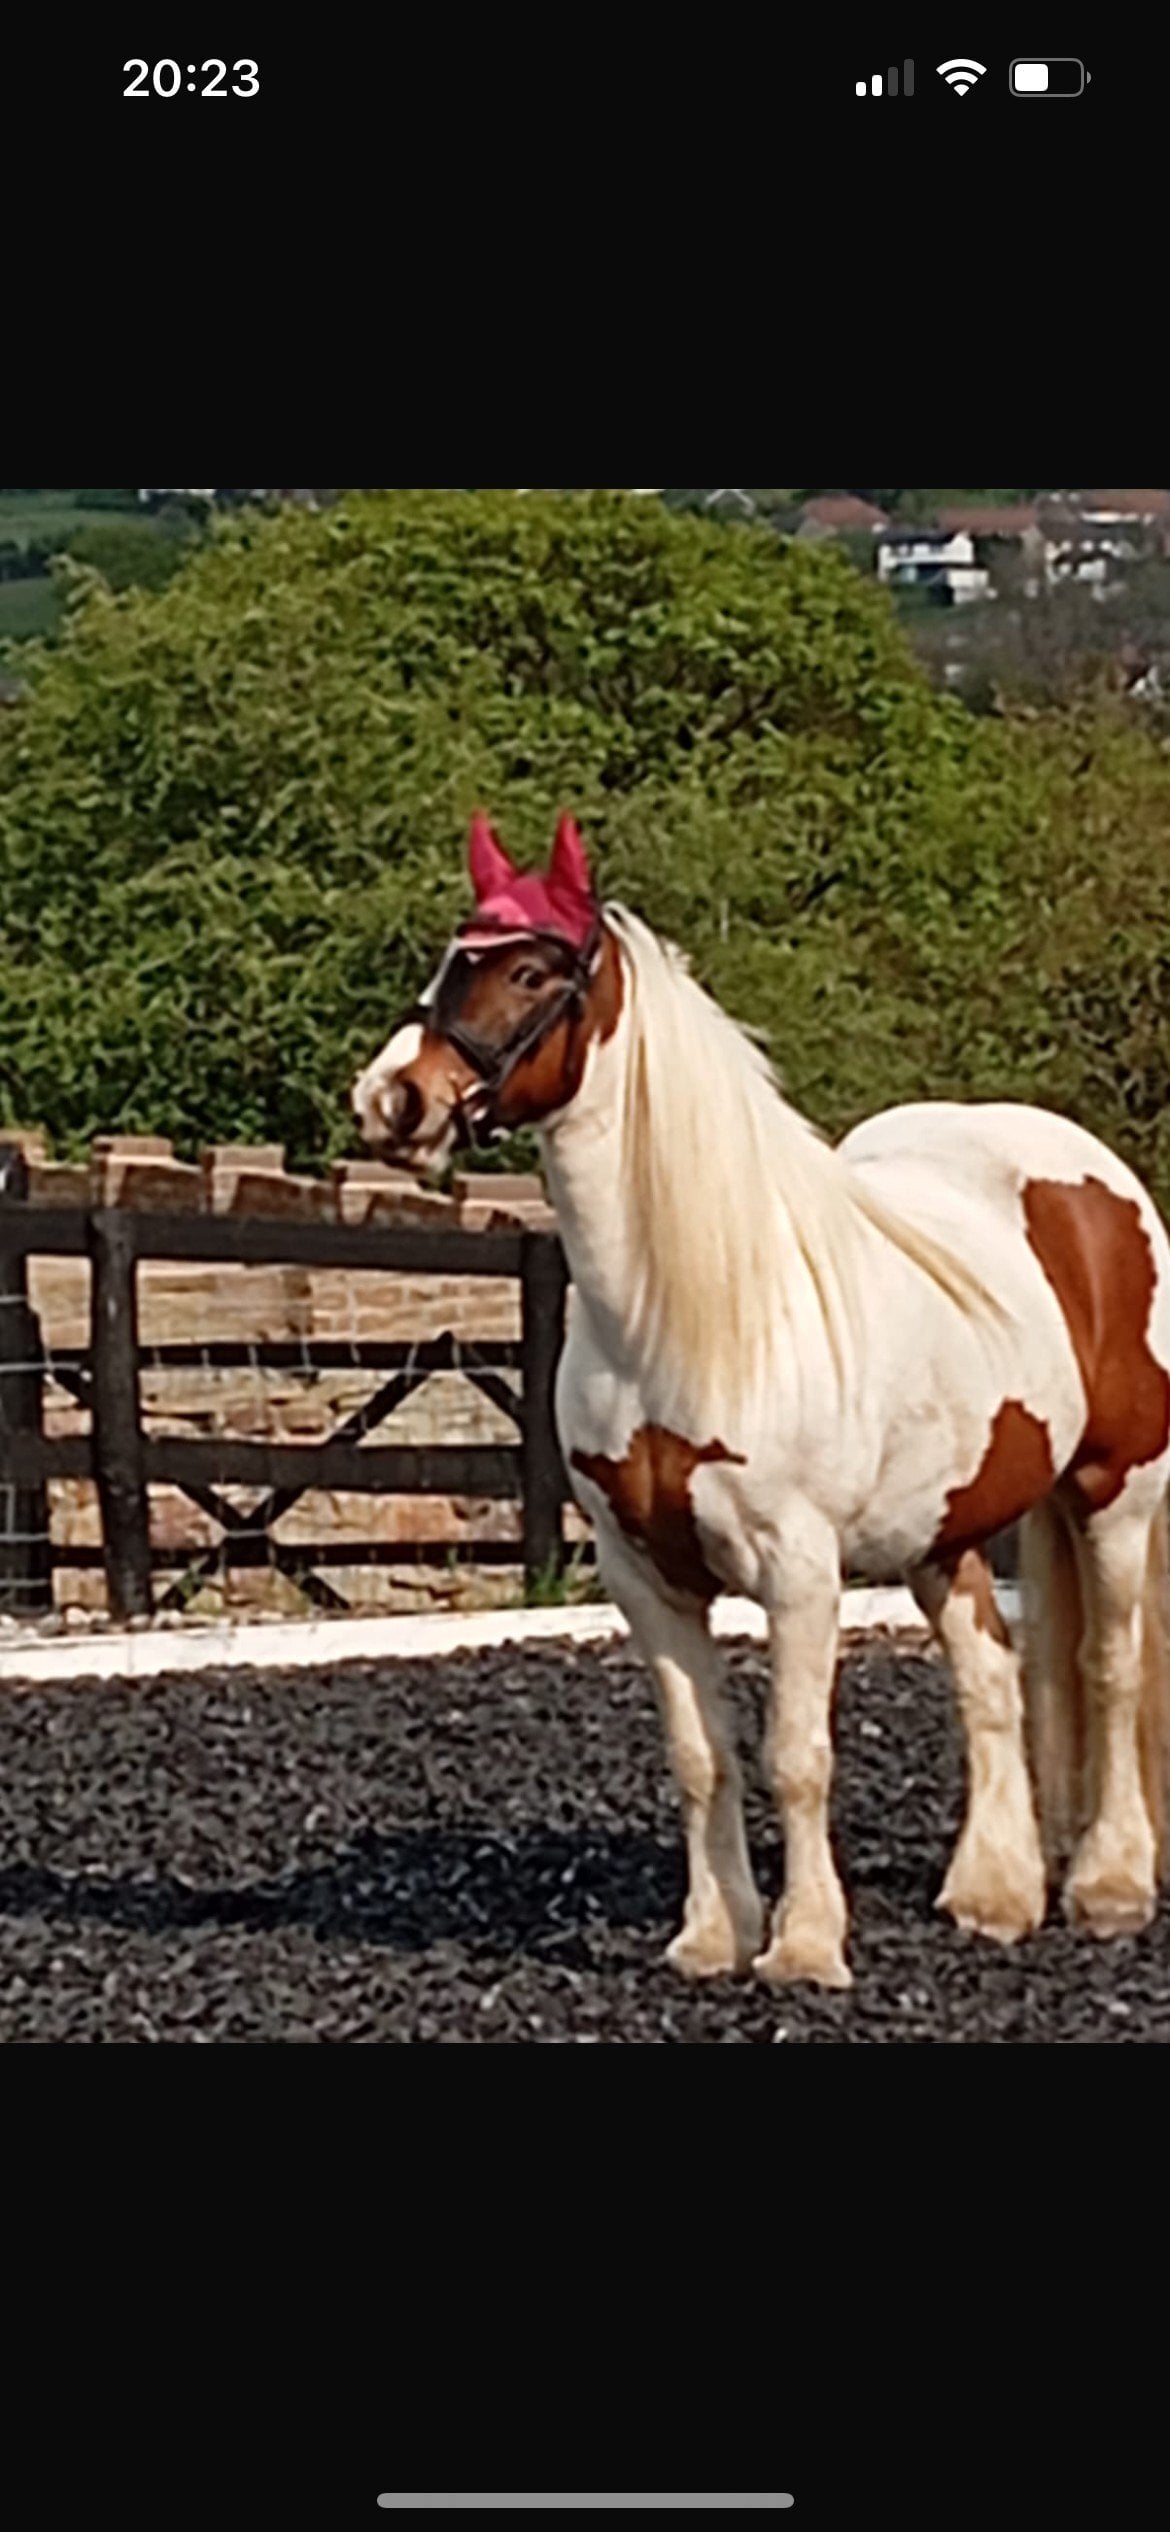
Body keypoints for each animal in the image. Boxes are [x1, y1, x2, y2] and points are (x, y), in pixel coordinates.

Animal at [351, 810, 1170, 1992]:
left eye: (529, 971)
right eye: (447, 960)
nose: (390, 1101)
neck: (687, 1311)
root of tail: (1091, 1175)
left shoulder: (798, 1569)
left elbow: (795, 1756)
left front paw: (807, 1946)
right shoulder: (643, 1572)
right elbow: (703, 1758)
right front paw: (712, 1937)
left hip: (1117, 1488)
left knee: (1108, 1667)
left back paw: (1108, 1886)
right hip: (945, 1526)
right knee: (990, 1671)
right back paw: (994, 1896)